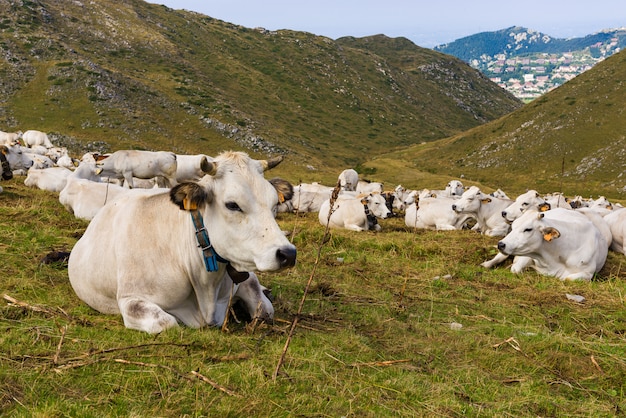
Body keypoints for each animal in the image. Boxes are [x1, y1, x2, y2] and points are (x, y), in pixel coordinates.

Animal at [67, 151, 296, 334]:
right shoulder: (130, 299)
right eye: (232, 205)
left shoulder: (244, 277)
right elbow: (167, 323)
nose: (288, 254)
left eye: (274, 203)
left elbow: (266, 310)